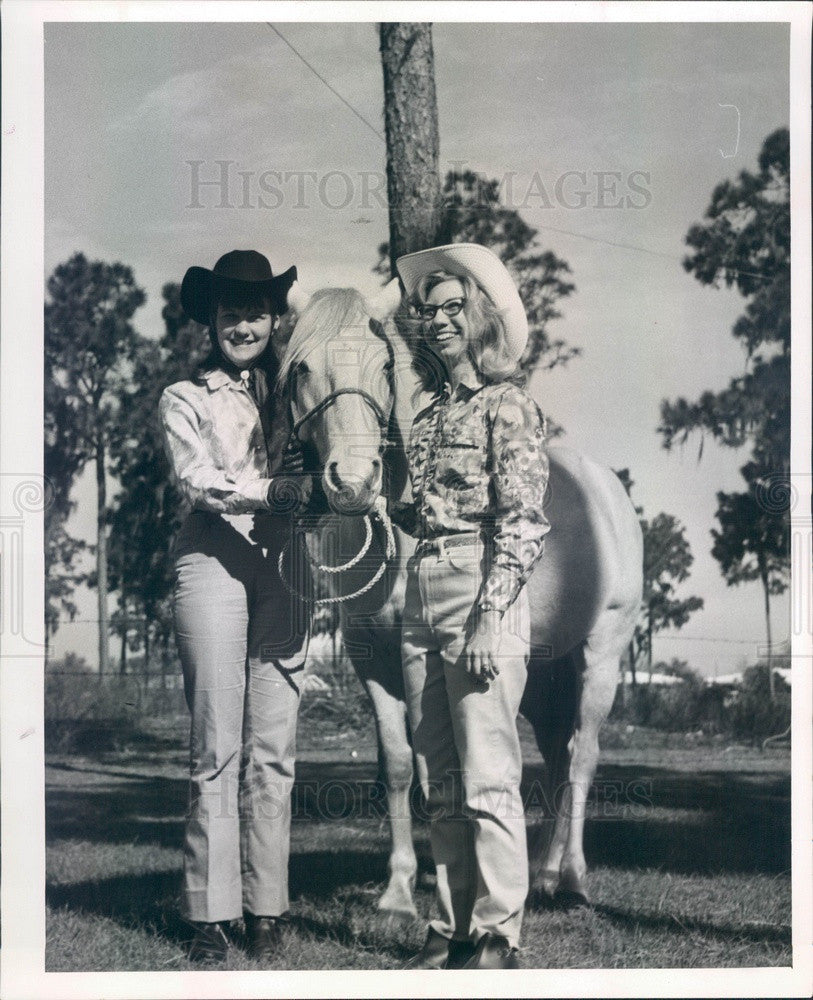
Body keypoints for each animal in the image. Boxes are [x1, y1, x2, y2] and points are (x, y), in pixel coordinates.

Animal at [280, 286, 640, 916]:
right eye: (301, 367)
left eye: (385, 366)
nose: (352, 482)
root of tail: (610, 490)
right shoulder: (373, 660)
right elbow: (401, 765)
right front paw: (398, 890)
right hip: (543, 672)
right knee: (558, 753)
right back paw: (541, 873)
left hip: (601, 656)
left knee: (584, 754)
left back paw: (571, 879)